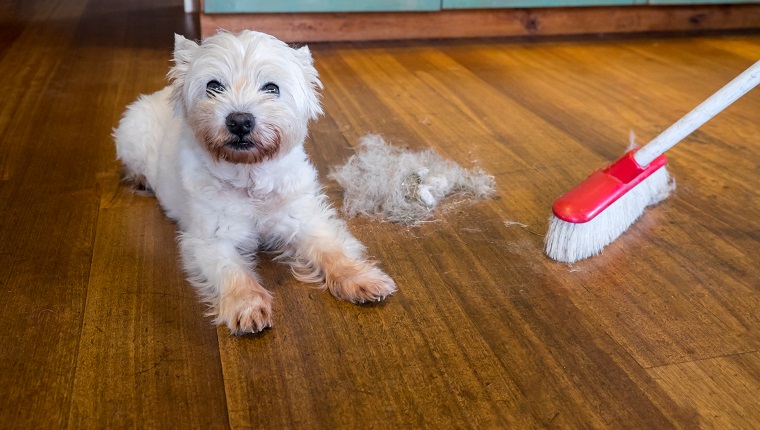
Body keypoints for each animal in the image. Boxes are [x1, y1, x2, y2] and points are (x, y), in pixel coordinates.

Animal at [115, 31, 398, 336]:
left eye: (272, 88)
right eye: (213, 86)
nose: (240, 121)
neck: (250, 178)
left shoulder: (303, 220)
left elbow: (332, 250)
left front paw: (361, 278)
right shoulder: (211, 240)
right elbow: (233, 272)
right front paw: (246, 307)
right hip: (130, 137)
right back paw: (141, 180)